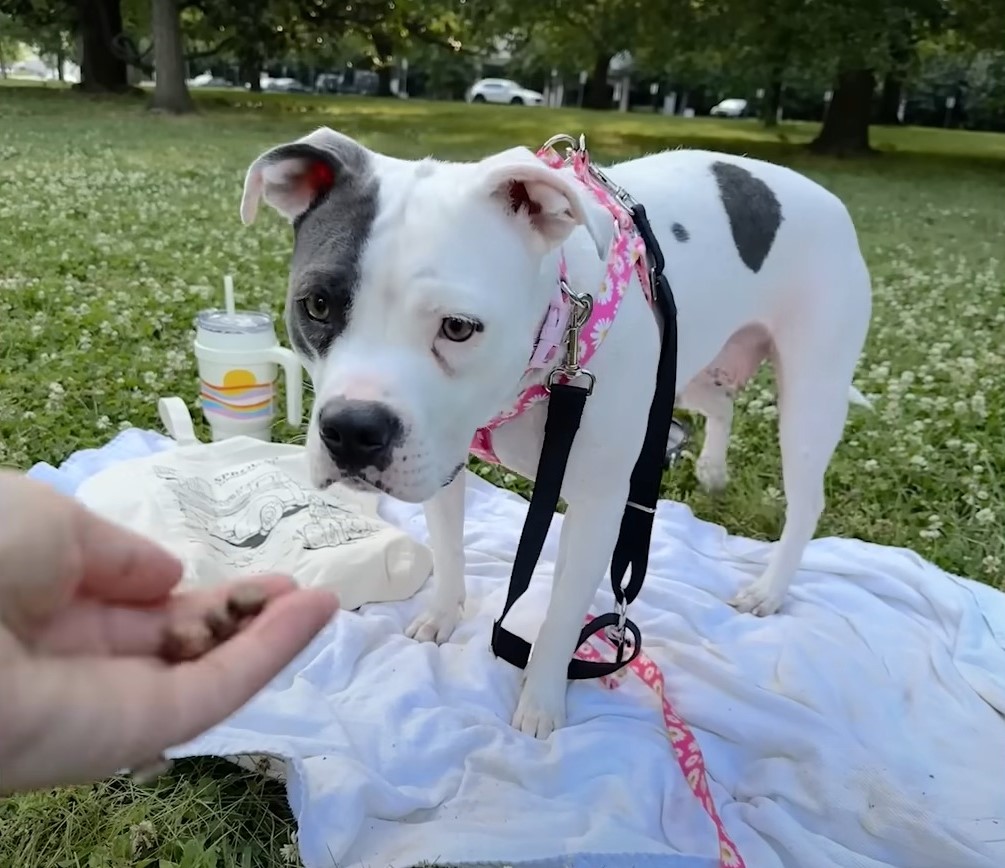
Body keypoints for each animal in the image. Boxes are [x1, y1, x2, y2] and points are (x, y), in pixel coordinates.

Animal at [241, 127, 872, 739]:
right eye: (317, 305)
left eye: (459, 327)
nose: (352, 430)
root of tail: (830, 200)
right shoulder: (441, 459)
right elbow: (448, 549)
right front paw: (443, 615)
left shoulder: (597, 506)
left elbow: (564, 610)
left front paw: (541, 701)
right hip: (688, 366)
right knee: (719, 402)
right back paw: (713, 470)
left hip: (809, 398)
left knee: (806, 501)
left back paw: (770, 588)